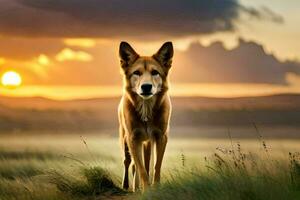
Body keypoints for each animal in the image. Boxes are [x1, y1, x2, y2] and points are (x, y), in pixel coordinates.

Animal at [118, 41, 173, 192]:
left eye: (155, 72)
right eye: (136, 73)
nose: (146, 86)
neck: (146, 111)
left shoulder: (161, 137)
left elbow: (156, 166)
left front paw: (155, 188)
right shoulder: (133, 139)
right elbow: (141, 168)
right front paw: (146, 190)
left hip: (147, 143)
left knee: (145, 163)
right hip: (125, 141)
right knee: (128, 163)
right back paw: (128, 186)